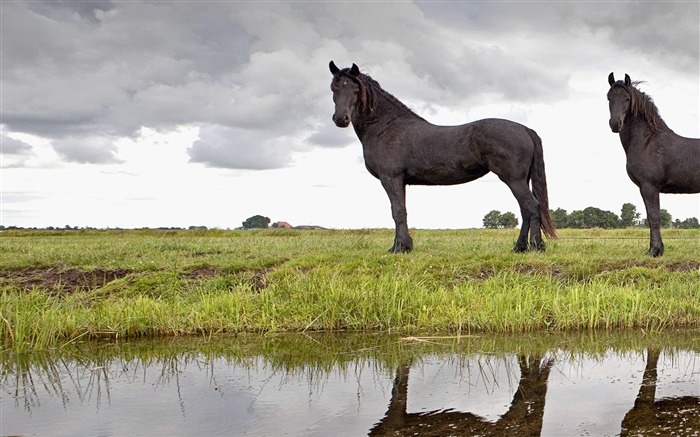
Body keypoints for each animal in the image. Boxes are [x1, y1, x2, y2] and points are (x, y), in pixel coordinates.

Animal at [330, 61, 556, 252]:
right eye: (334, 88)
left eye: (355, 89)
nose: (341, 119)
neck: (386, 126)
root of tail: (524, 129)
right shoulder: (400, 181)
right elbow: (401, 210)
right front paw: (403, 245)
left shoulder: (390, 178)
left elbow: (397, 211)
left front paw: (399, 248)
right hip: (521, 179)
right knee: (525, 210)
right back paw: (519, 247)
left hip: (513, 179)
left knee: (532, 207)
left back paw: (536, 246)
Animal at [604, 71, 696, 255]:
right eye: (608, 97)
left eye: (627, 98)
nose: (615, 124)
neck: (647, 141)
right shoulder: (643, 188)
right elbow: (649, 216)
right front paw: (652, 250)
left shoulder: (650, 186)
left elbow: (654, 217)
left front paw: (656, 251)